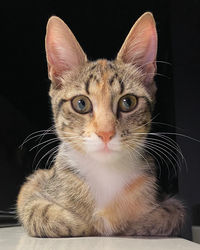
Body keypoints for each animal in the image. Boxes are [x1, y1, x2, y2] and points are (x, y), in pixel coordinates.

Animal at [16, 12, 185, 237]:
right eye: (81, 103)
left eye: (128, 102)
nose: (106, 133)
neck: (106, 172)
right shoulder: (37, 184)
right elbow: (33, 207)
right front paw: (80, 222)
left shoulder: (167, 199)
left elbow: (172, 213)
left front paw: (133, 224)